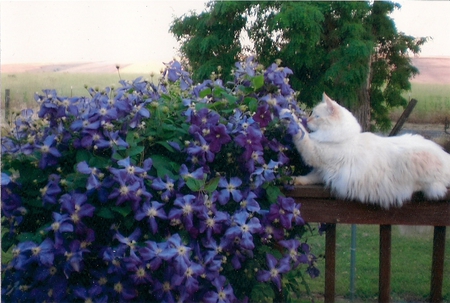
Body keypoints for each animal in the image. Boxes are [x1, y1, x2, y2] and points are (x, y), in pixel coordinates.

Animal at [284, 93, 450, 209]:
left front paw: (287, 113)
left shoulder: (315, 153)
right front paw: (296, 180)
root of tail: (445, 156)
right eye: (311, 114)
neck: (345, 137)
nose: (307, 120)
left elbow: (302, 134)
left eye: (316, 116)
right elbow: (309, 177)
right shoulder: (323, 170)